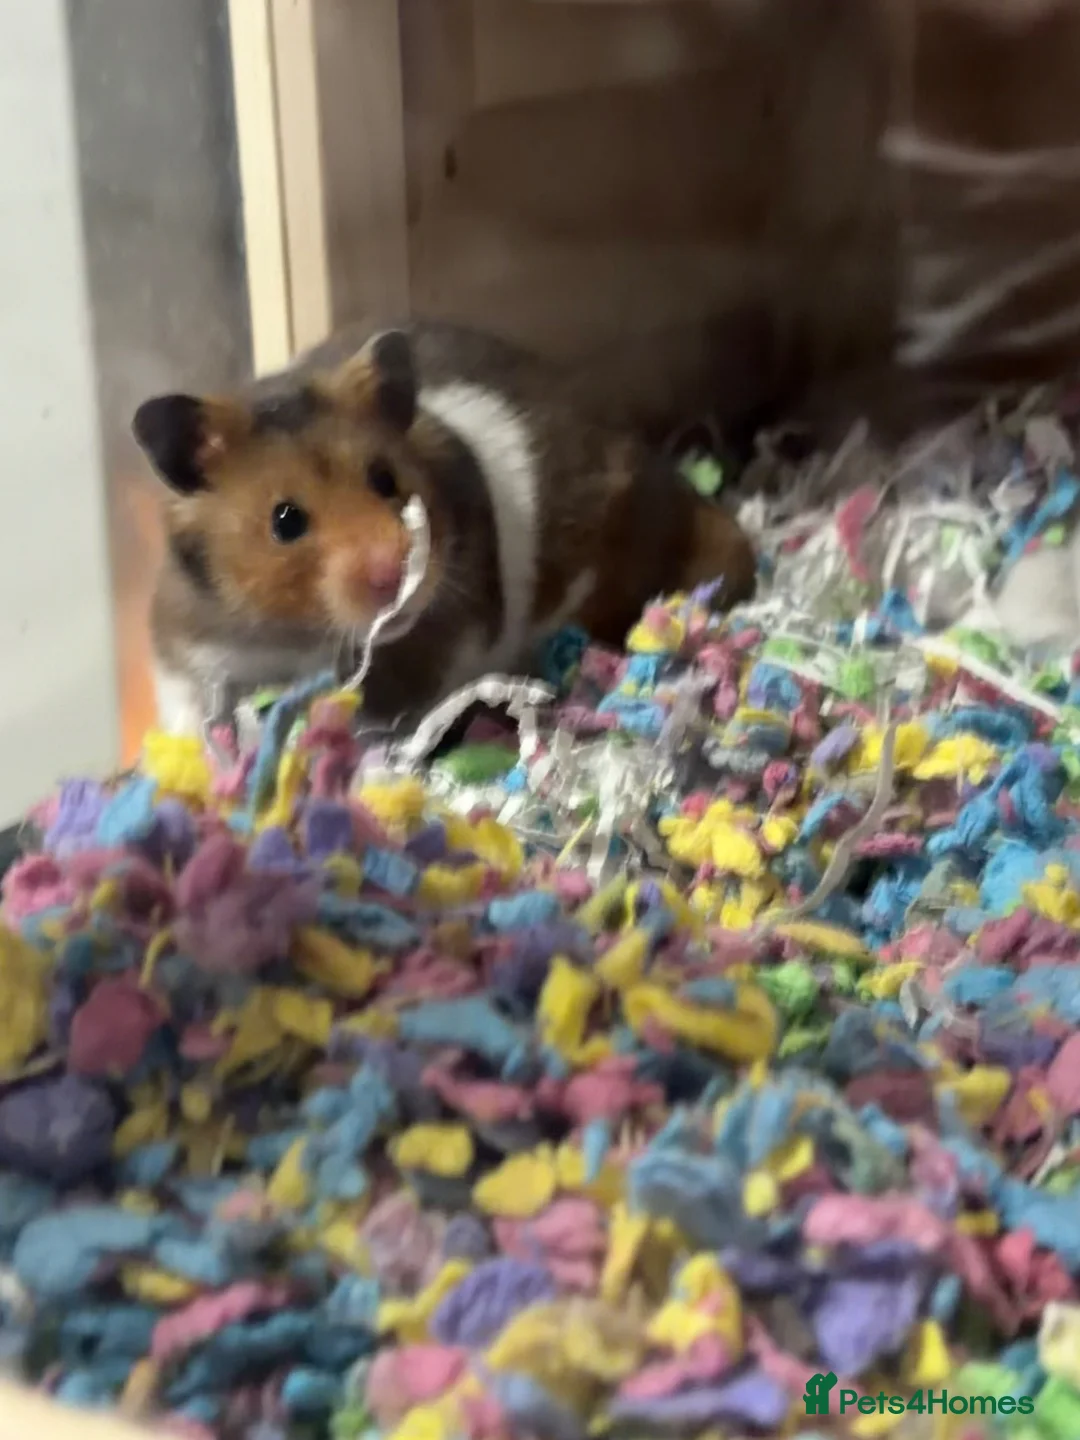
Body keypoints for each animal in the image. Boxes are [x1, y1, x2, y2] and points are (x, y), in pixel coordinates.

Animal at [133, 321, 756, 734]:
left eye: (385, 479)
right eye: (285, 521)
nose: (395, 572)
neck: (295, 639)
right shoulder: (188, 657)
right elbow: (190, 714)